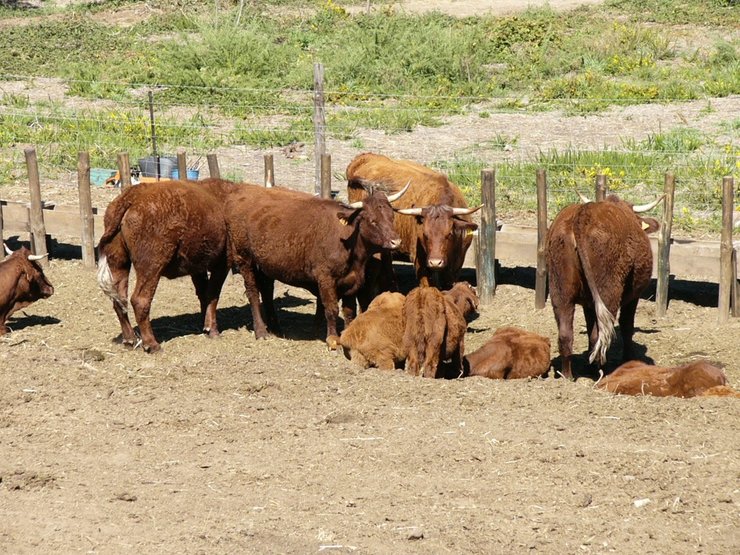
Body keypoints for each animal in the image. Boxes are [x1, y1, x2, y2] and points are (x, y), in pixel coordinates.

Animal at [228, 182, 408, 350]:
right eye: (373, 221)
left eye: (391, 217)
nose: (396, 241)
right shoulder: (325, 278)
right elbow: (331, 308)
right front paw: (333, 339)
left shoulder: (352, 280)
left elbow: (349, 310)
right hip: (244, 259)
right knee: (253, 293)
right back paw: (261, 331)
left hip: (265, 264)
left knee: (266, 290)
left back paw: (276, 328)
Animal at [346, 152, 480, 302]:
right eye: (425, 235)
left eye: (449, 234)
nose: (435, 262)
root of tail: (363, 158)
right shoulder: (420, 262)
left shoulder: (457, 263)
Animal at [548, 193, 660, 380]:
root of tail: (582, 215)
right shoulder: (633, 297)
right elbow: (627, 325)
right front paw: (628, 359)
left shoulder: (588, 303)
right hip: (608, 292)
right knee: (599, 335)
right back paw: (599, 372)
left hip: (560, 291)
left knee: (565, 334)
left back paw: (567, 376)